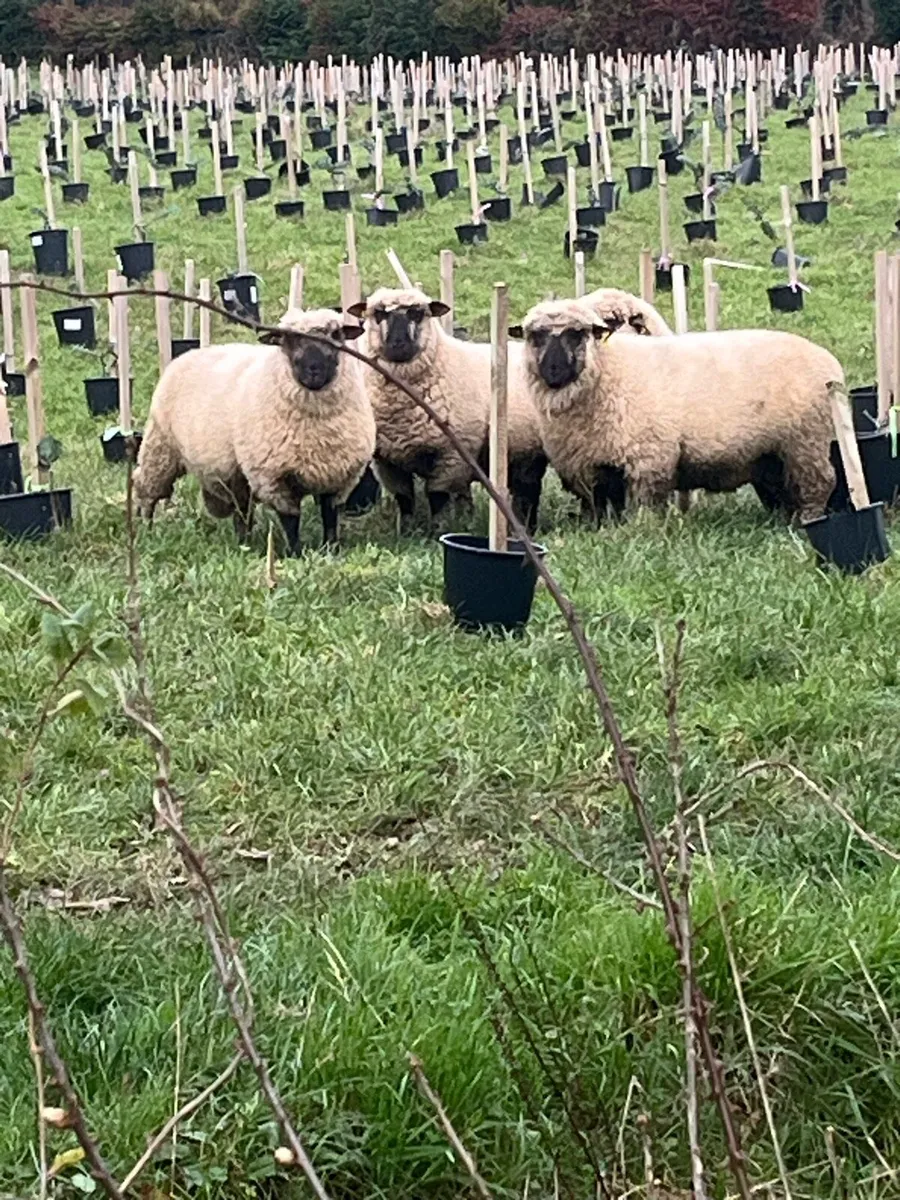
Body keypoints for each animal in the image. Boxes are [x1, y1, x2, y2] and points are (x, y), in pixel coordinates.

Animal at [133, 308, 375, 553]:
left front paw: (331, 550)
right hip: (161, 447)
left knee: (242, 511)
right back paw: (146, 528)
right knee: (146, 489)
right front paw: (295, 553)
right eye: (288, 338)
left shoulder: (338, 475)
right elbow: (291, 520)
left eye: (336, 335)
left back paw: (244, 543)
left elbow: (330, 517)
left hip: (233, 471)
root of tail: (190, 354)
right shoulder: (273, 477)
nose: (314, 371)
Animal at [348, 287, 547, 534]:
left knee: (528, 493)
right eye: (379, 314)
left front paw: (437, 531)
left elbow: (437, 497)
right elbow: (405, 499)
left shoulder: (451, 455)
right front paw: (406, 532)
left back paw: (526, 529)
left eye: (417, 313)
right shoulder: (387, 462)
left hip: (528, 450)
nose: (398, 345)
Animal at [512, 298, 842, 523]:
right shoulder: (591, 464)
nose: (554, 370)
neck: (609, 372)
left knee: (819, 484)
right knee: (781, 490)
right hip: (771, 452)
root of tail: (828, 360)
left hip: (806, 442)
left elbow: (644, 506)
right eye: (534, 336)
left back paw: (808, 522)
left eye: (577, 333)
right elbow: (602, 507)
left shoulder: (648, 459)